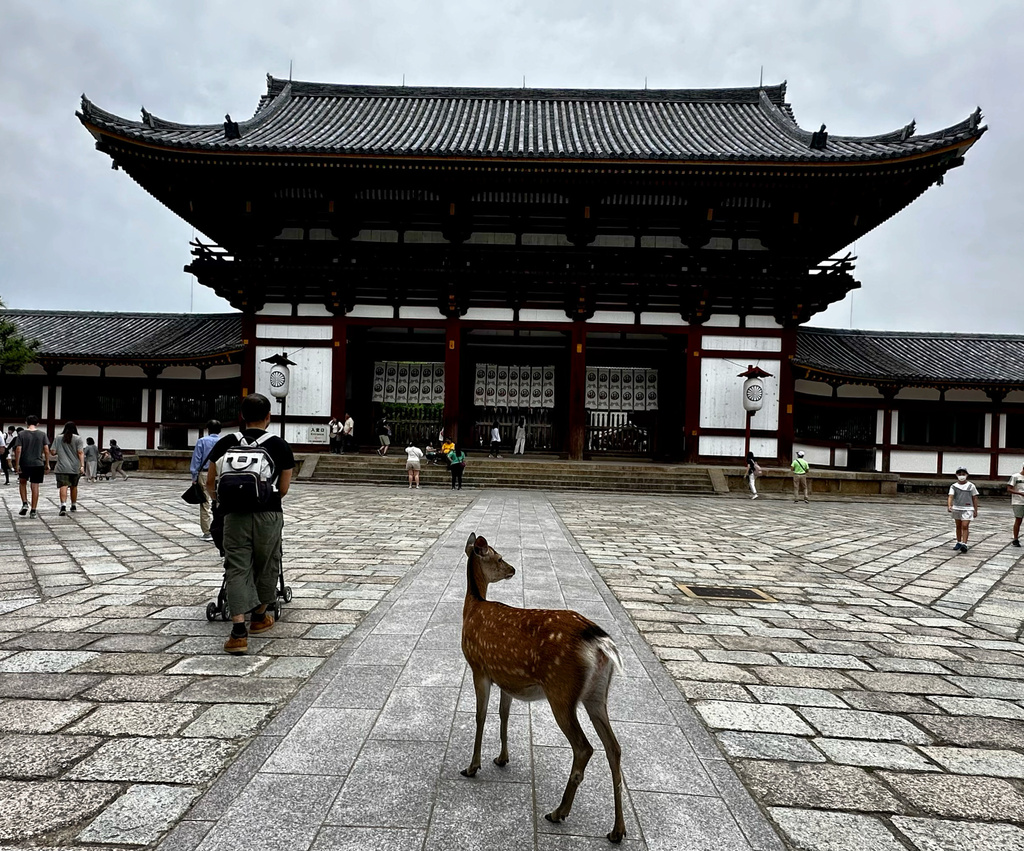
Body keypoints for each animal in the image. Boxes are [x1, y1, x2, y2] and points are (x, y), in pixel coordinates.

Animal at [462, 536, 622, 843]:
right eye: (499, 558)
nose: (512, 569)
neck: (473, 607)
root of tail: (601, 643)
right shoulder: (505, 678)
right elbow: (503, 714)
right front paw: (502, 758)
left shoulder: (479, 667)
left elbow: (480, 716)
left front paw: (472, 767)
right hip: (598, 695)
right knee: (614, 748)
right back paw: (617, 830)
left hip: (561, 691)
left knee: (584, 748)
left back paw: (558, 812)